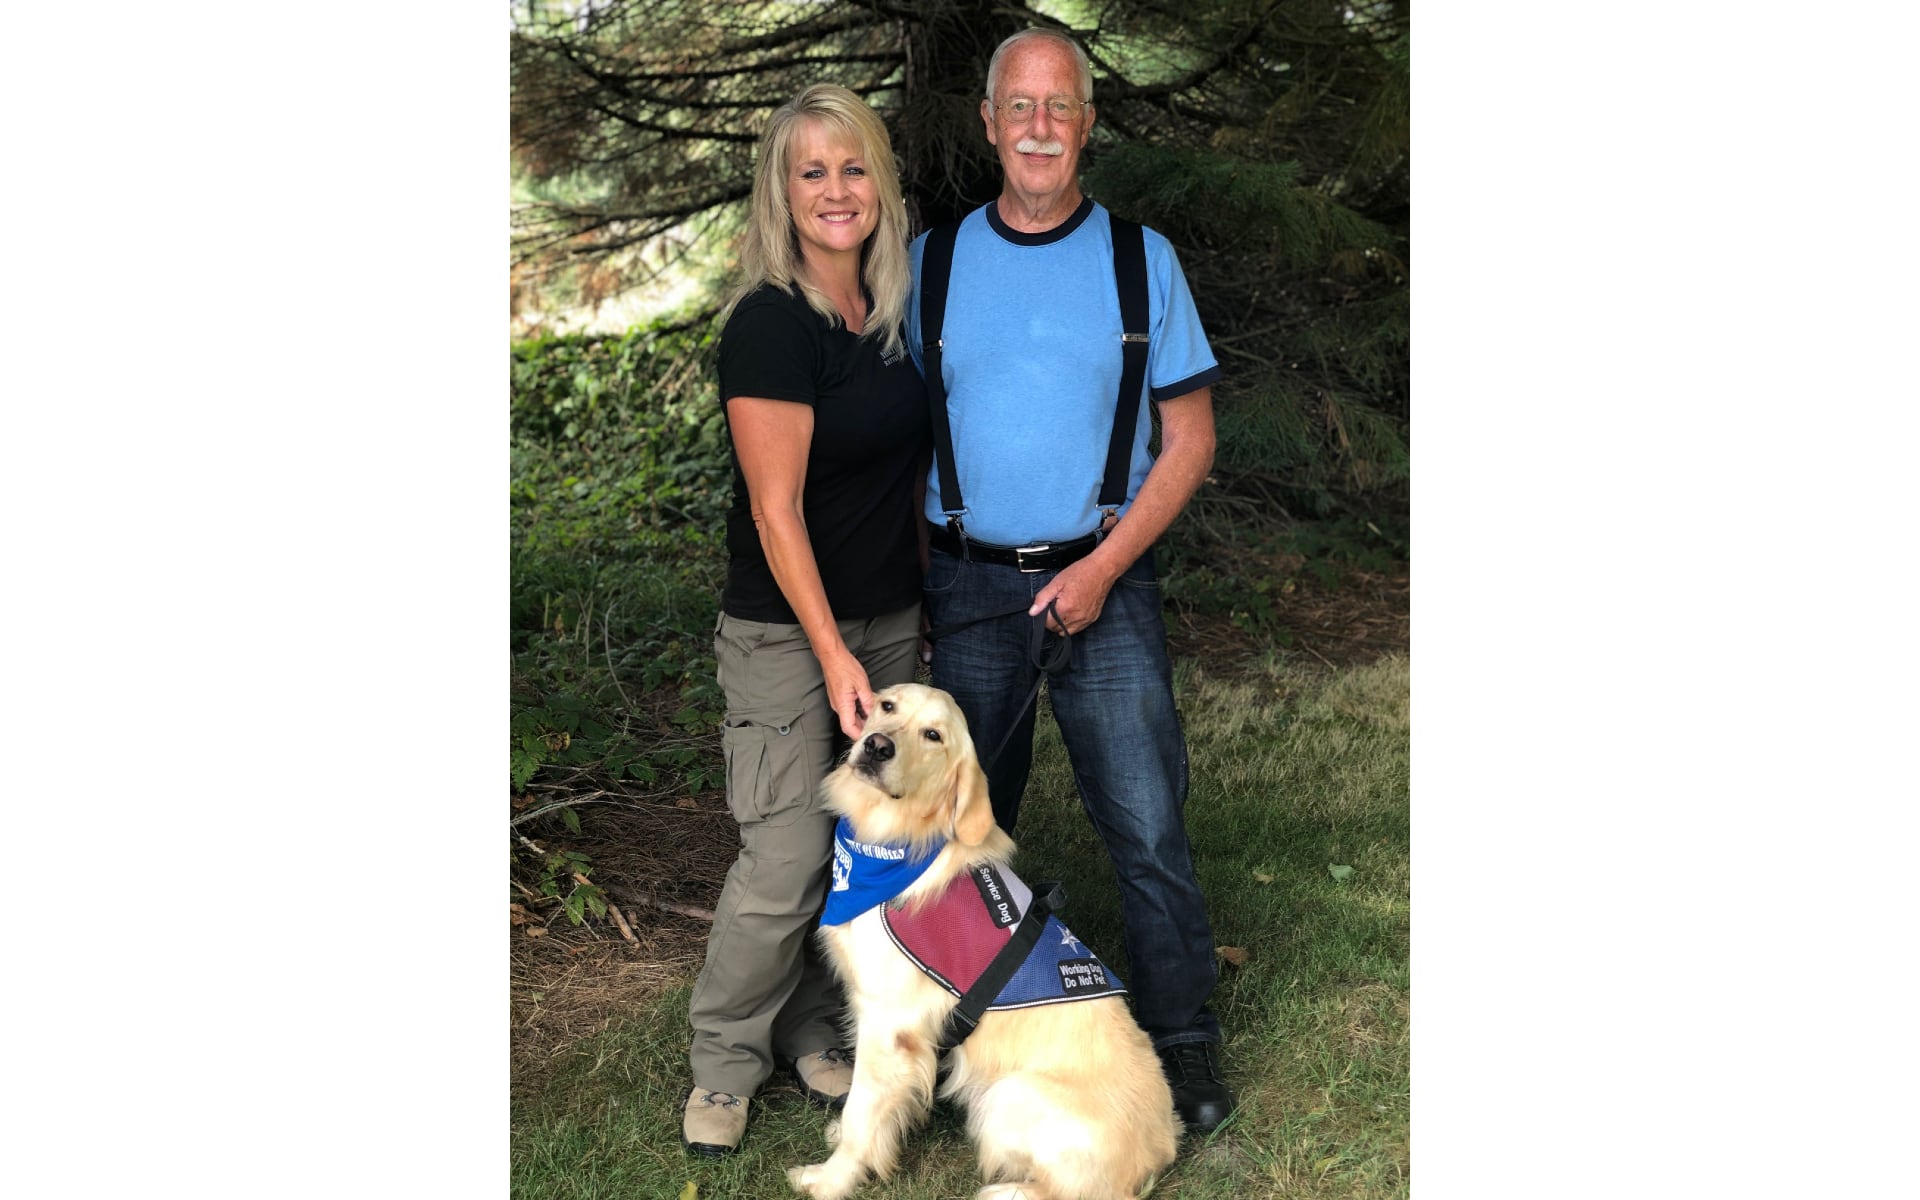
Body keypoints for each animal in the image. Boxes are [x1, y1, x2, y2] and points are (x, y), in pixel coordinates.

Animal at [783, 683, 1175, 1198]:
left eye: (933, 735)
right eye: (887, 706)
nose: (877, 746)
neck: (890, 849)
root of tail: (1162, 1147)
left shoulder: (888, 1023)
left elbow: (860, 1112)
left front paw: (831, 1178)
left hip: (1011, 1093)